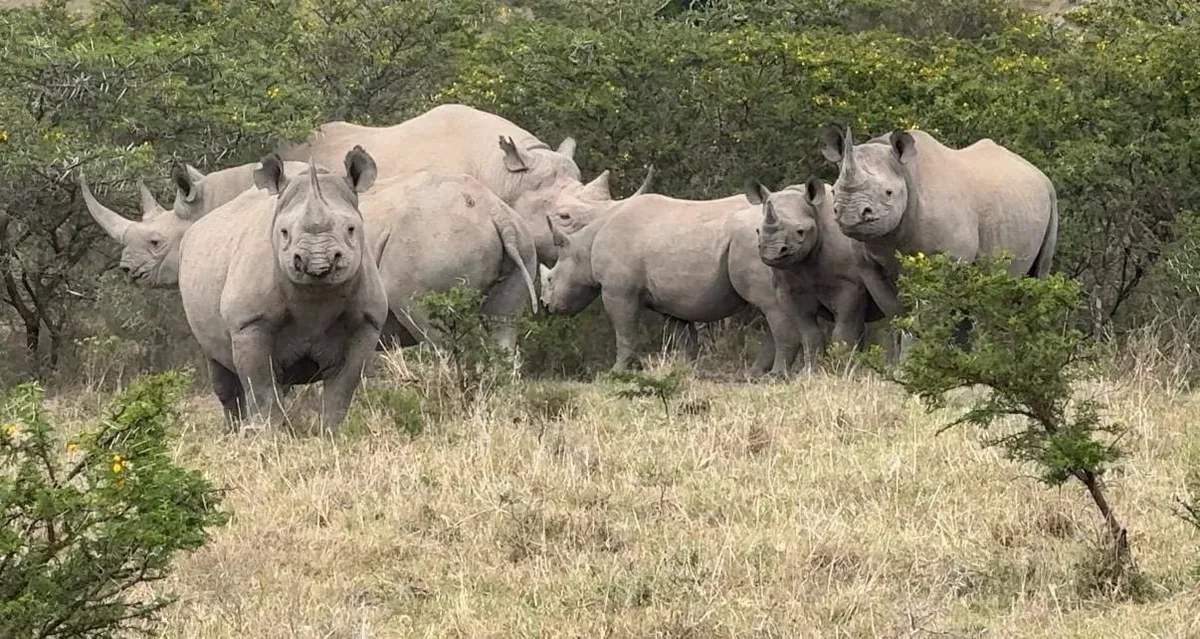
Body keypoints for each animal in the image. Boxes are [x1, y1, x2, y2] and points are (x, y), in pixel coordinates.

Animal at [177, 147, 387, 433]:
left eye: (351, 229)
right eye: (284, 233)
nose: (317, 261)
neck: (316, 299)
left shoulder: (367, 323)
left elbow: (342, 389)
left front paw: (330, 433)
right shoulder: (249, 323)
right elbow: (261, 386)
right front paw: (268, 433)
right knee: (221, 369)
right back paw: (235, 432)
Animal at [538, 193, 827, 375]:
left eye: (550, 279)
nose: (545, 306)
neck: (583, 247)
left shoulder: (618, 292)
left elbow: (624, 330)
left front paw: (617, 371)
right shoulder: (672, 300)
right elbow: (682, 337)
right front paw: (686, 369)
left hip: (758, 245)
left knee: (770, 306)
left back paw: (775, 374)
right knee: (770, 310)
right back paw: (754, 374)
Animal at [746, 176, 903, 352]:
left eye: (800, 231)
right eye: (758, 231)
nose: (771, 252)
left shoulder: (849, 285)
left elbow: (843, 334)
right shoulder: (788, 289)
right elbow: (810, 336)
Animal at [820, 125, 1058, 280]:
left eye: (888, 193)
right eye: (833, 190)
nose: (850, 215)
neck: (906, 172)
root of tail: (1040, 174)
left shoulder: (953, 257)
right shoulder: (866, 265)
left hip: (1051, 198)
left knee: (1038, 272)